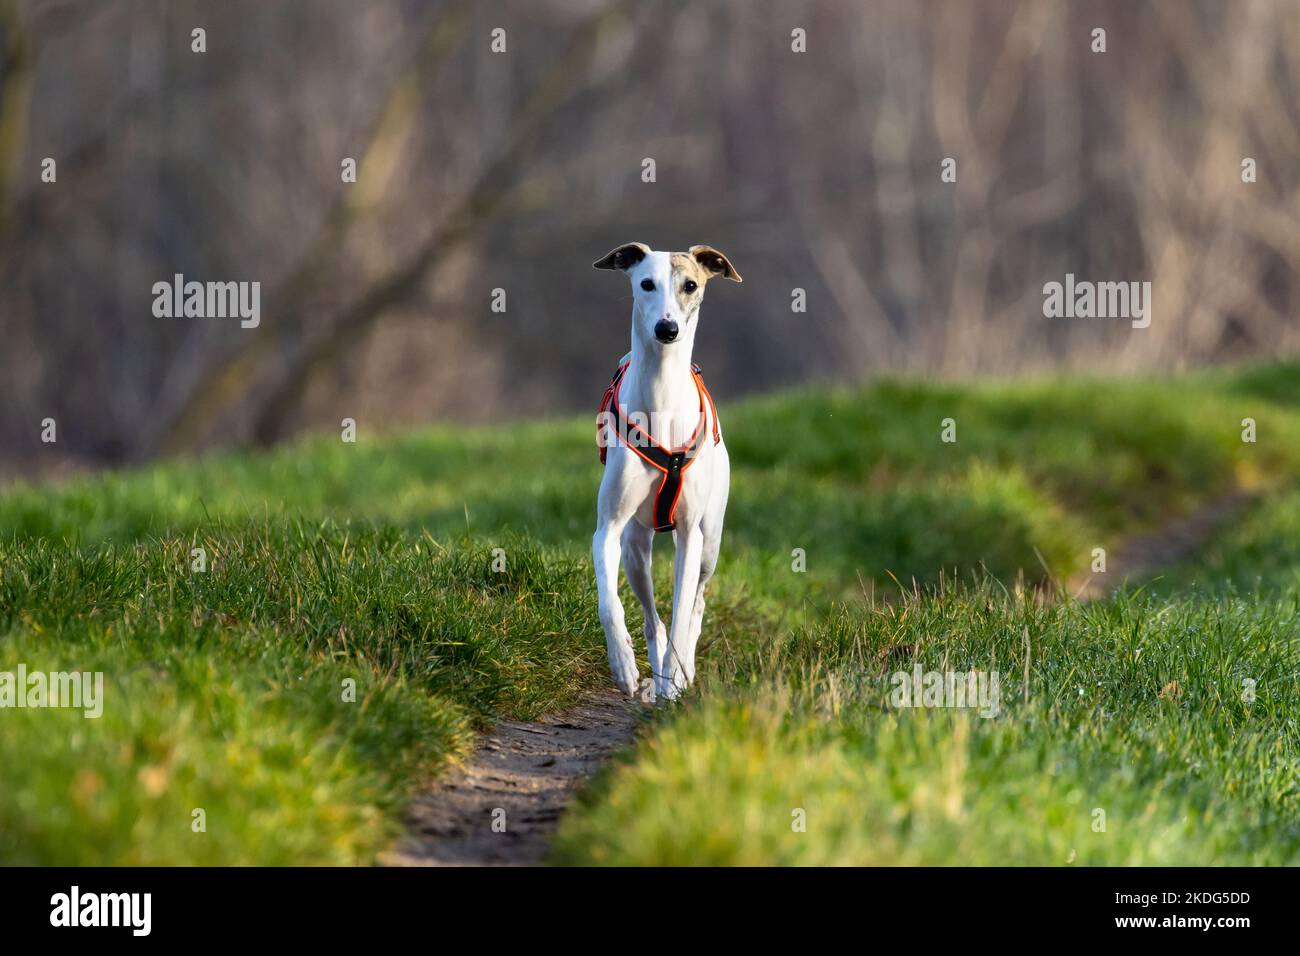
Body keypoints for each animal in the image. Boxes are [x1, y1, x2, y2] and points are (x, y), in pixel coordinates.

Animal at [592, 240, 743, 702]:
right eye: (646, 284)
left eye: (690, 285)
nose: (666, 328)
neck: (661, 390)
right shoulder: (608, 530)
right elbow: (610, 603)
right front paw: (623, 665)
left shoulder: (690, 535)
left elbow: (681, 613)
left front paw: (676, 677)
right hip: (636, 549)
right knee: (651, 617)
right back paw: (655, 676)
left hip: (711, 540)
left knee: (696, 604)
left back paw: (680, 673)